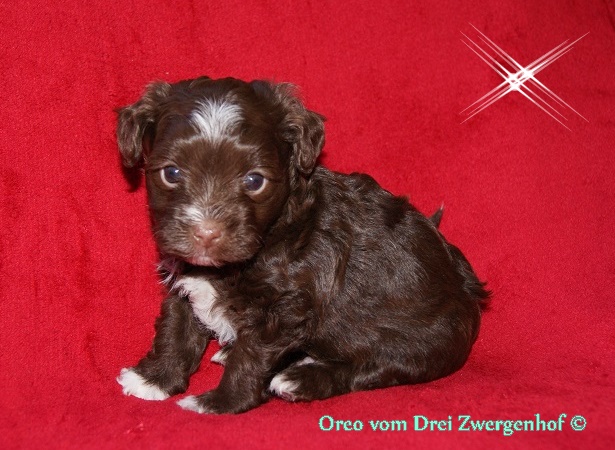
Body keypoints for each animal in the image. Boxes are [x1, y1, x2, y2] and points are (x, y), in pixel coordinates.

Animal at [115, 76, 489, 414]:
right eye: (172, 173)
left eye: (255, 180)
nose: (206, 233)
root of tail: (468, 286)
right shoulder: (185, 279)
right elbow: (176, 329)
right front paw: (154, 380)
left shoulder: (283, 312)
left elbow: (249, 359)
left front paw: (220, 403)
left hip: (424, 342)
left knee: (378, 366)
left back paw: (300, 379)